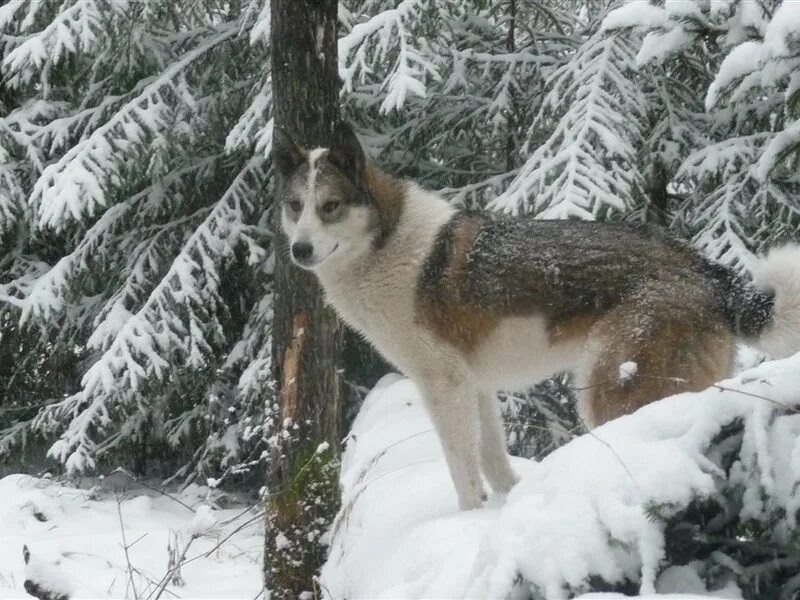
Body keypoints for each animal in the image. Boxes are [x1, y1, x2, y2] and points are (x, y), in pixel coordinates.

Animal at [274, 124, 800, 508]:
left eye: (330, 207)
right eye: (295, 206)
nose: (299, 251)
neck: (385, 243)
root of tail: (705, 268)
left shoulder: (442, 386)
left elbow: (463, 472)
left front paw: (468, 523)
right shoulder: (475, 386)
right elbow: (494, 463)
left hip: (611, 385)